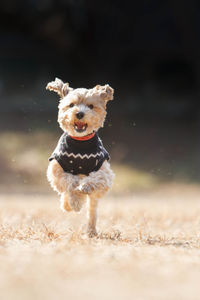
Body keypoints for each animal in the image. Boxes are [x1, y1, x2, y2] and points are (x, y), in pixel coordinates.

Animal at [45, 78, 114, 238]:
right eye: (71, 105)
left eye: (91, 106)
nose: (80, 113)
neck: (81, 144)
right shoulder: (56, 168)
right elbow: (69, 182)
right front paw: (75, 201)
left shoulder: (103, 170)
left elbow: (96, 179)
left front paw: (85, 187)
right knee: (66, 193)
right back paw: (68, 204)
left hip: (95, 200)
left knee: (92, 211)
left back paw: (91, 231)